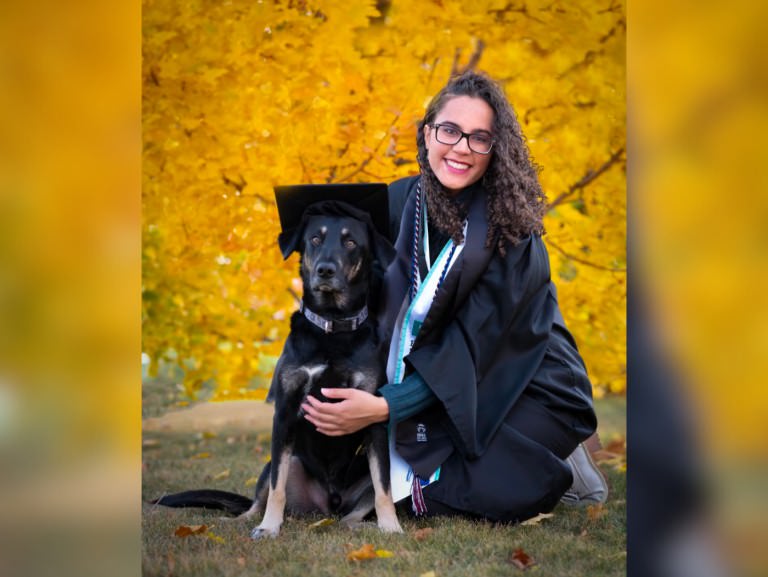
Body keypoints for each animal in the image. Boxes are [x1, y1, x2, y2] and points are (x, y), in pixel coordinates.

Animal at [151, 187, 402, 536]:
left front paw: (391, 527)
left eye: (351, 242)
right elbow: (276, 489)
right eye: (315, 238)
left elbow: (384, 488)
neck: (332, 326)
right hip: (280, 461)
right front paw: (270, 527)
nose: (325, 270)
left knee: (354, 511)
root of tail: (328, 506)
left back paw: (355, 526)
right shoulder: (284, 411)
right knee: (259, 497)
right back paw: (242, 521)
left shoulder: (373, 415)